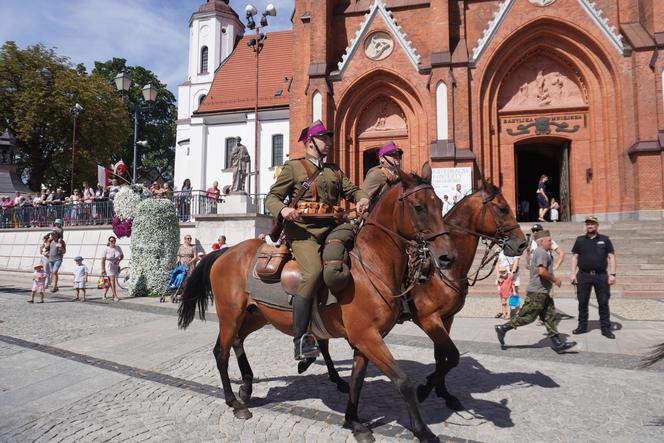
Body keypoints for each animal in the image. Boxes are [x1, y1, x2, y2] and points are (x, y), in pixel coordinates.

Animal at [178, 165, 456, 442]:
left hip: (256, 315)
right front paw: (423, 431)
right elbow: (403, 382)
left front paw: (353, 421)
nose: (447, 257)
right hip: (230, 314)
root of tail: (227, 251)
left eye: (440, 204)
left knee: (238, 341)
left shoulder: (365, 340)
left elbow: (357, 380)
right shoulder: (368, 336)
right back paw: (235, 402)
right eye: (419, 207)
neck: (371, 264)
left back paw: (247, 385)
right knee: (221, 353)